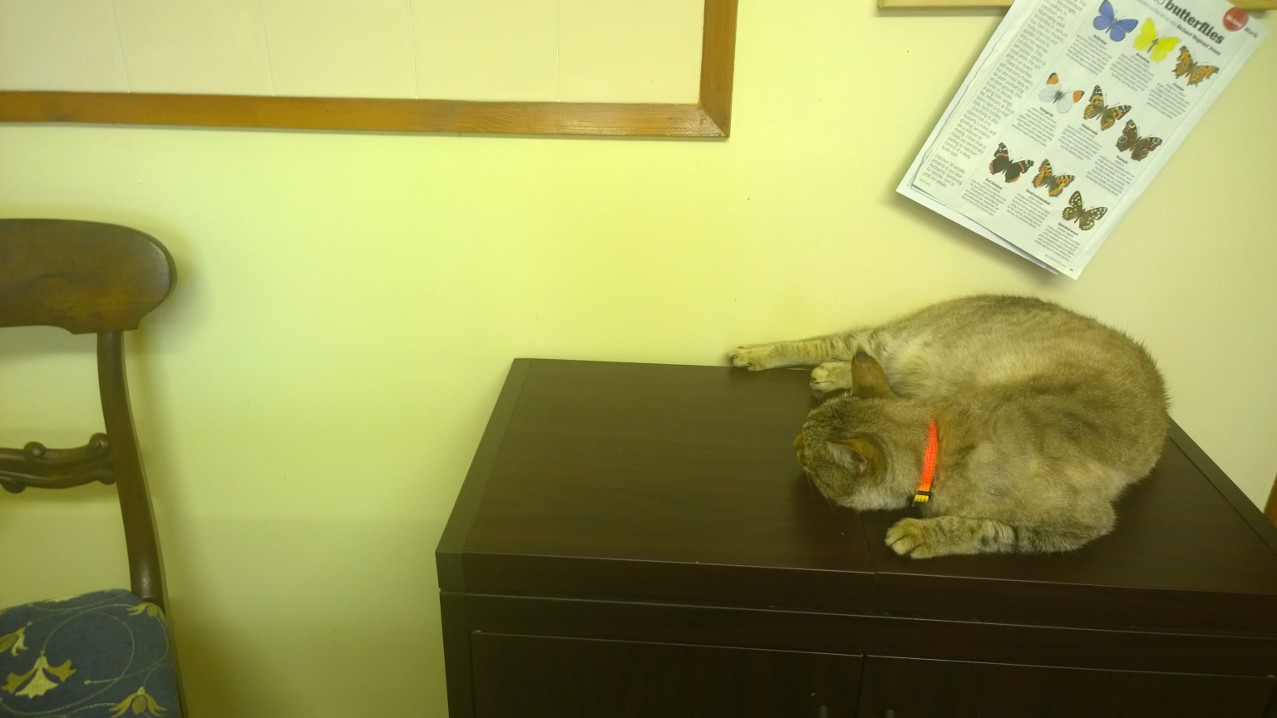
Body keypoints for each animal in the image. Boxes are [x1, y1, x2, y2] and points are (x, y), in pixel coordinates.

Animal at [729, 295, 1169, 559]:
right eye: (802, 432)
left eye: (805, 449)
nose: (793, 441)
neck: (941, 444)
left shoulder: (1082, 524)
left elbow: (993, 530)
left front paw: (923, 533)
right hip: (889, 342)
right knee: (836, 344)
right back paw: (759, 355)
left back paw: (829, 373)